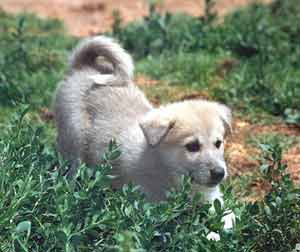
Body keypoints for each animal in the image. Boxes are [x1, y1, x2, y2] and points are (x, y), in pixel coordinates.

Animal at [55, 36, 236, 240]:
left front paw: (223, 227)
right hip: (74, 141)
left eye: (218, 143)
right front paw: (211, 235)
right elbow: (188, 228)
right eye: (192, 146)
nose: (220, 173)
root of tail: (82, 67)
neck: (166, 167)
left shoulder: (212, 197)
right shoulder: (157, 212)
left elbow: (228, 215)